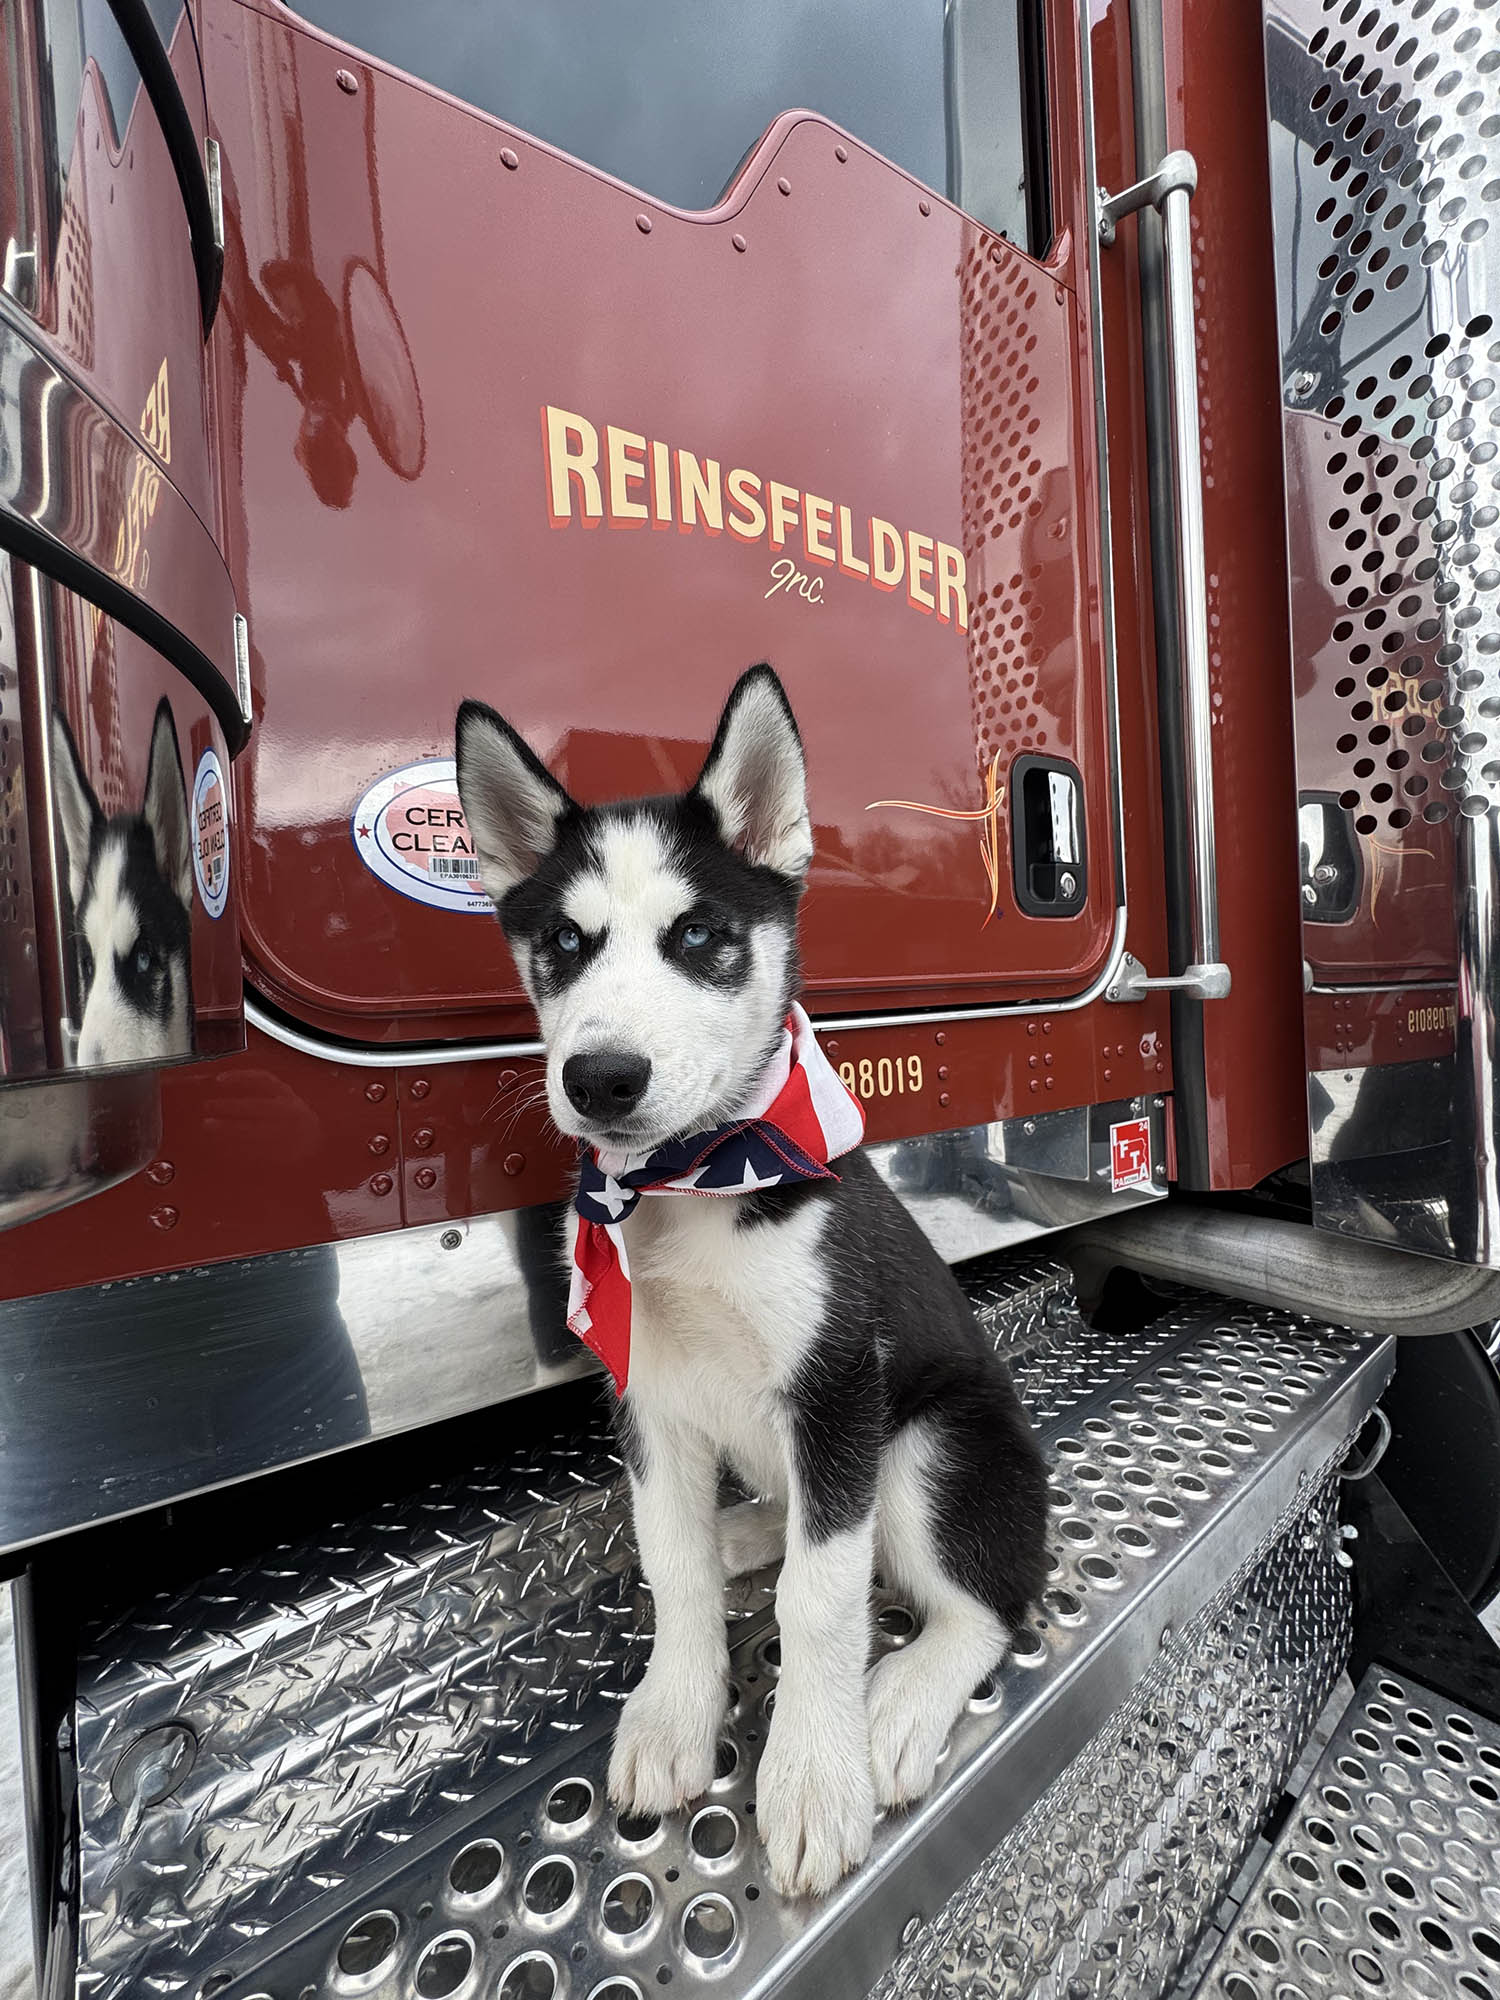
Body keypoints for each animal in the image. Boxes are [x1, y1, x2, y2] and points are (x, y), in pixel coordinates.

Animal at [456, 668, 1048, 1888]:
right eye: (565, 942)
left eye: (699, 935)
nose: (601, 1077)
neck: (690, 1185)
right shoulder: (649, 1397)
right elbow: (669, 1560)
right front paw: (676, 1709)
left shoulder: (837, 1387)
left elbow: (820, 1596)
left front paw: (815, 1774)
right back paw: (744, 1533)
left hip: (928, 1444)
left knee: (982, 1600)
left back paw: (897, 1703)